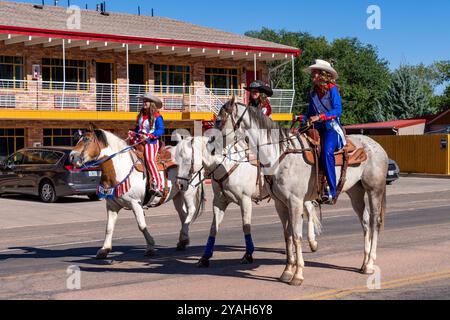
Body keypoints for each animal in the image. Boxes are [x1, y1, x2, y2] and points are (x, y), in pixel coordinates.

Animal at [69, 129, 203, 258]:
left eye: (87, 139)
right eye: (77, 139)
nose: (71, 157)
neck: (120, 169)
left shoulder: (136, 204)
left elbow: (141, 225)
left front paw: (150, 247)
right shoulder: (112, 206)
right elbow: (109, 227)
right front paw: (104, 249)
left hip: (188, 191)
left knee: (191, 211)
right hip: (177, 195)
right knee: (183, 215)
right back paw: (183, 241)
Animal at [174, 134, 322, 268]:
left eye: (187, 159)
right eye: (176, 159)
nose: (180, 184)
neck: (225, 165)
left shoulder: (245, 200)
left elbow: (246, 226)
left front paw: (248, 254)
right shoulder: (219, 201)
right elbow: (213, 228)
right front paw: (205, 257)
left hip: (299, 196)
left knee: (309, 211)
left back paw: (312, 242)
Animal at [216, 99, 388, 286]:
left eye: (219, 120)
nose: (211, 144)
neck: (279, 154)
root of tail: (378, 147)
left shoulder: (295, 202)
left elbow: (297, 235)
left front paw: (297, 275)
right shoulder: (280, 204)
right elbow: (288, 236)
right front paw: (286, 272)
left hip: (374, 190)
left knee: (375, 222)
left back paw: (370, 263)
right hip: (355, 193)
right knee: (365, 222)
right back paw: (364, 263)